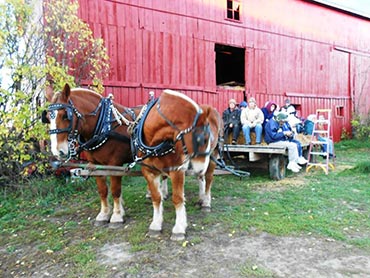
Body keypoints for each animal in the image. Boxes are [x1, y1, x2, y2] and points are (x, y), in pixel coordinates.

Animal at [42, 84, 165, 226]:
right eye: (47, 118)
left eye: (65, 116)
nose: (58, 151)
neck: (103, 127)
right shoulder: (94, 165)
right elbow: (102, 190)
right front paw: (104, 214)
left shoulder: (115, 164)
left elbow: (115, 190)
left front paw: (116, 216)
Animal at [133, 89, 223, 241]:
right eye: (202, 139)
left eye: (209, 138)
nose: (201, 168)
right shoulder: (149, 171)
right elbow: (156, 197)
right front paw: (155, 225)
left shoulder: (177, 169)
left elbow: (178, 198)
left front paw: (179, 228)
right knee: (201, 179)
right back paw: (201, 197)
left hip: (214, 156)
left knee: (208, 178)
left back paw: (206, 202)